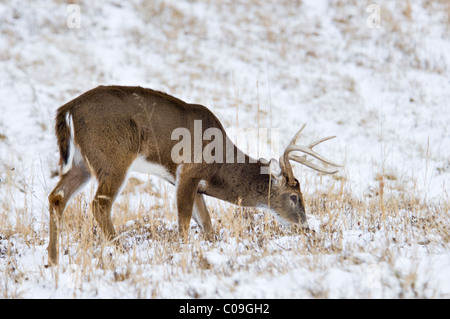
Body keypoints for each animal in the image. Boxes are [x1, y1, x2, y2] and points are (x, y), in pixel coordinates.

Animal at [46, 84, 342, 264]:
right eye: (294, 196)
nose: (306, 226)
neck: (219, 162)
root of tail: (70, 107)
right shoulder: (188, 173)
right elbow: (185, 223)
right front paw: (183, 253)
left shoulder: (191, 183)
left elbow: (207, 226)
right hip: (113, 157)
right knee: (99, 204)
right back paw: (121, 250)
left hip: (83, 162)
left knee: (57, 197)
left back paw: (53, 259)